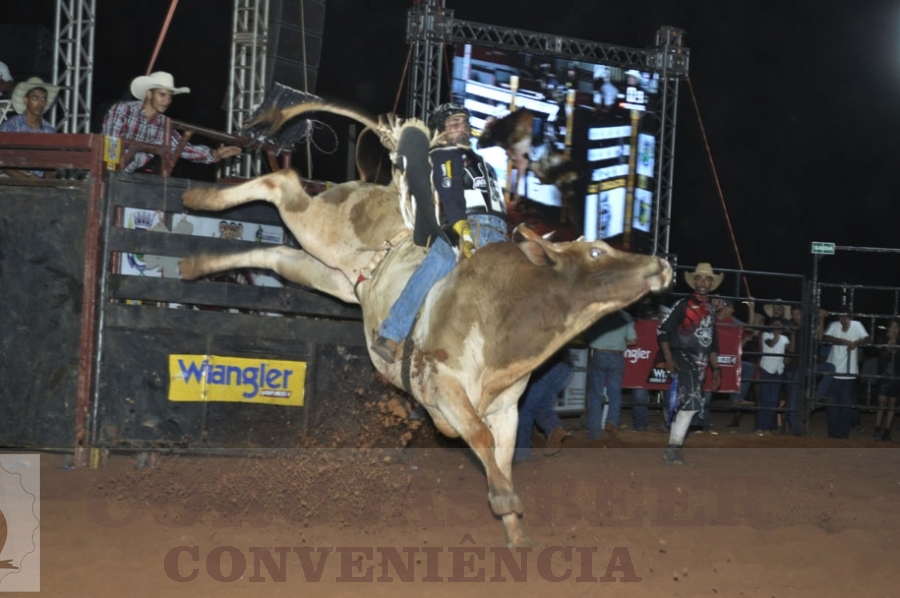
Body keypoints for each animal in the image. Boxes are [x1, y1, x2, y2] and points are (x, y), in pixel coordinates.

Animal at [179, 102, 672, 548]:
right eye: (596, 252)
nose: (661, 265)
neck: (507, 312)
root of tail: (381, 188)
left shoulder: (507, 409)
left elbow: (501, 455)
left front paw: (516, 536)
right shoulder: (443, 384)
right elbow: (479, 439)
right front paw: (505, 504)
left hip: (334, 275)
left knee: (277, 254)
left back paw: (192, 263)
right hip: (322, 229)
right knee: (281, 184)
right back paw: (199, 199)